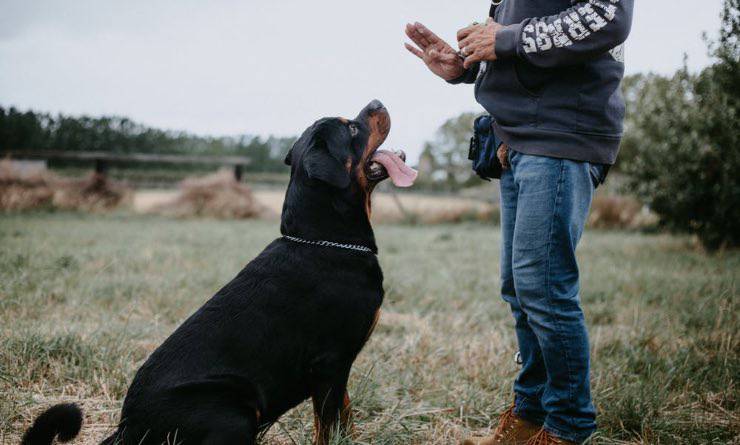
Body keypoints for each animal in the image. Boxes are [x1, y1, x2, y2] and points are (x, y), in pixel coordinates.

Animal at [21, 100, 416, 444]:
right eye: (351, 128)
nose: (377, 102)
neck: (323, 239)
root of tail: (128, 429)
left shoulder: (338, 371)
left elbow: (346, 420)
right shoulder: (330, 365)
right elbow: (330, 427)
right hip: (232, 409)